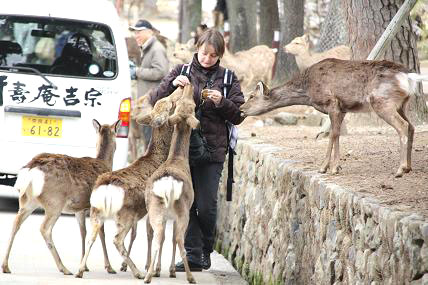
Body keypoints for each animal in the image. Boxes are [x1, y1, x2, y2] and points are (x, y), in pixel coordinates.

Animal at [2, 118, 121, 276]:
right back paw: (63, 268)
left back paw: (5, 266)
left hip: (27, 201)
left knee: (16, 223)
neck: (104, 163)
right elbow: (102, 233)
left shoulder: (79, 209)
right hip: (55, 201)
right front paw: (109, 267)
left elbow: (83, 232)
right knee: (44, 229)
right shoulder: (99, 204)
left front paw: (84, 265)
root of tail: (30, 169)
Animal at [143, 83, 198, 282]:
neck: (177, 159)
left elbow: (165, 238)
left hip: (155, 210)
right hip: (183, 212)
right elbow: (173, 239)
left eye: (188, 104)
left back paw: (148, 274)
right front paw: (170, 270)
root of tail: (167, 188)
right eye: (194, 107)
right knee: (179, 240)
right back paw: (189, 276)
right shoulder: (180, 214)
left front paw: (159, 269)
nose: (188, 84)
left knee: (158, 236)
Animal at [239, 58, 428, 178]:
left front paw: (324, 168)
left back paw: (400, 169)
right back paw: (408, 167)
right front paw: (336, 166)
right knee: (411, 126)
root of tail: (408, 76)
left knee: (403, 126)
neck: (308, 91)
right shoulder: (342, 109)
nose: (241, 109)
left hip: (383, 102)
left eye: (251, 96)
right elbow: (337, 134)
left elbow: (331, 134)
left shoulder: (332, 103)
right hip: (402, 104)